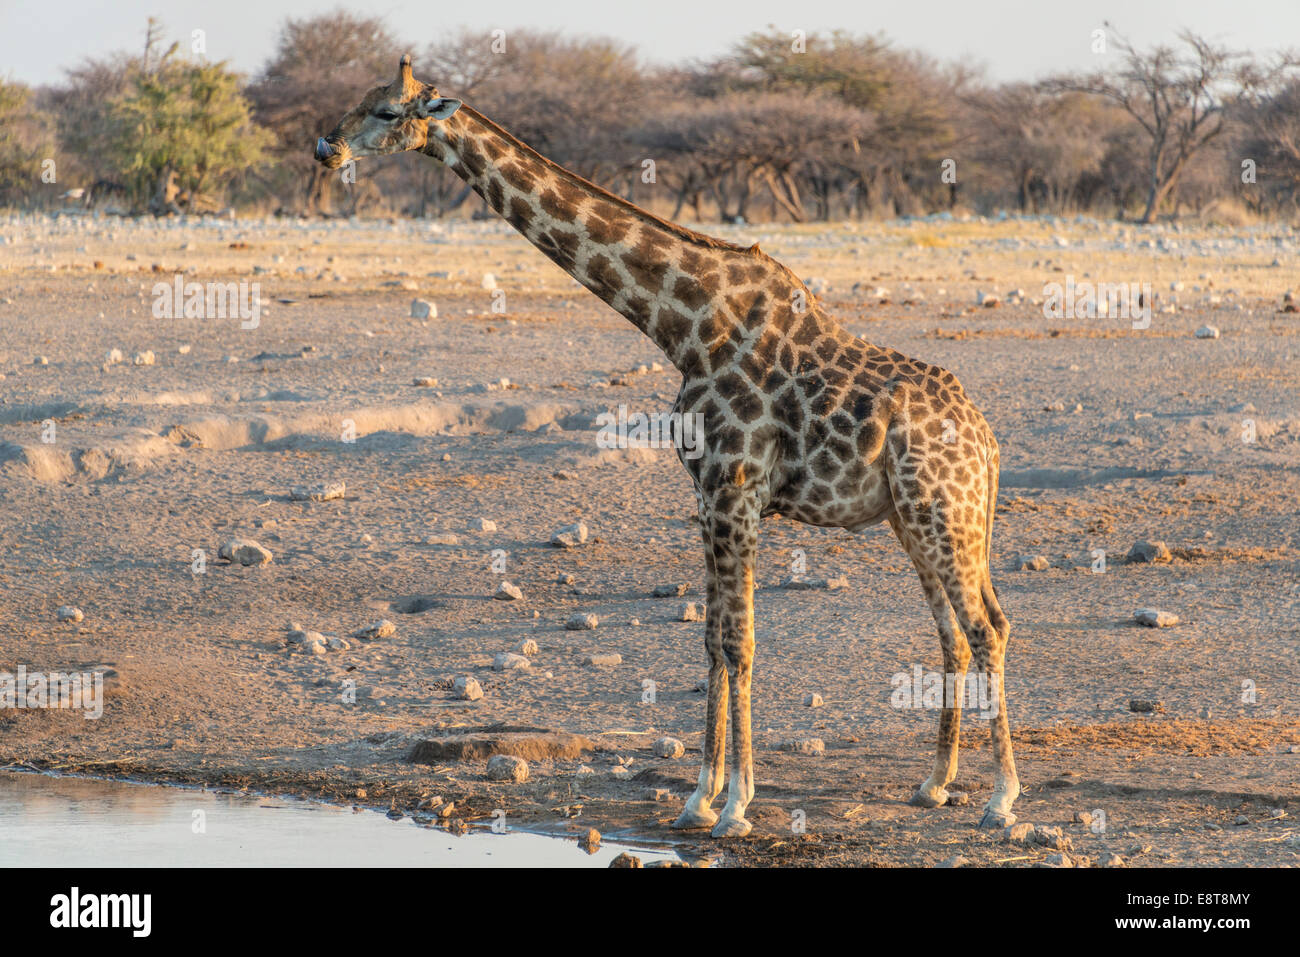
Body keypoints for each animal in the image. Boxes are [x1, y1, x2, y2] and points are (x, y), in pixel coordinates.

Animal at [317, 57, 1024, 837]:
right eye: (358, 100)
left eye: (386, 111)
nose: (326, 148)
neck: (684, 325)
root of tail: (988, 441)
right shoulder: (708, 495)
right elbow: (711, 639)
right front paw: (699, 798)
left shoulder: (735, 490)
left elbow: (740, 642)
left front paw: (737, 804)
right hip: (918, 518)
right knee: (955, 630)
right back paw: (935, 783)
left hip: (942, 513)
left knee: (987, 626)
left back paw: (1000, 798)